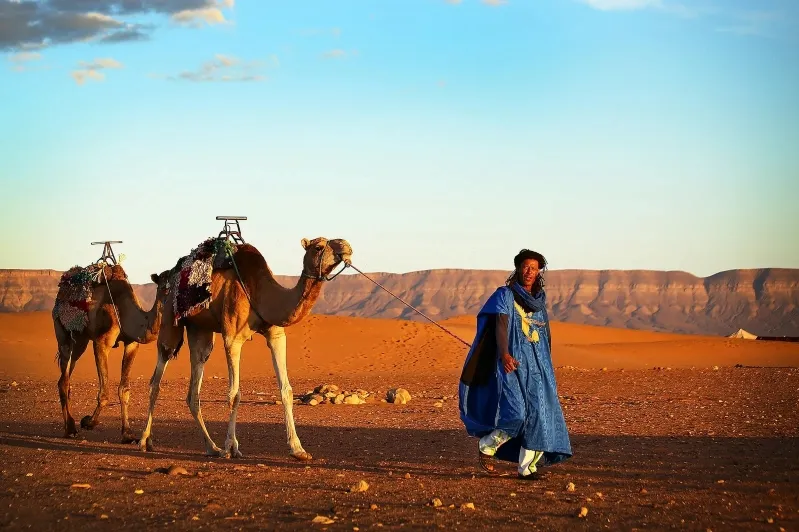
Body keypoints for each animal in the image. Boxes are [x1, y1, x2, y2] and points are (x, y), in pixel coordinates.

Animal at [53, 264, 168, 442]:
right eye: (164, 285)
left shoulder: (132, 344)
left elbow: (124, 389)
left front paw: (127, 433)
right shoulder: (101, 343)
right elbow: (104, 393)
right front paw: (88, 422)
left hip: (81, 340)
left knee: (66, 375)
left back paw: (70, 426)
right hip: (63, 332)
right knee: (64, 378)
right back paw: (70, 429)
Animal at [138, 236, 352, 460]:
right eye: (319, 247)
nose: (345, 246)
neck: (259, 290)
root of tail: (168, 276)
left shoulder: (276, 335)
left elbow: (286, 390)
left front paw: (298, 449)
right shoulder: (233, 338)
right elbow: (234, 394)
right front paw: (231, 447)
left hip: (200, 328)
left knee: (195, 383)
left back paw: (211, 447)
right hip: (169, 320)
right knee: (157, 379)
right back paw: (145, 440)